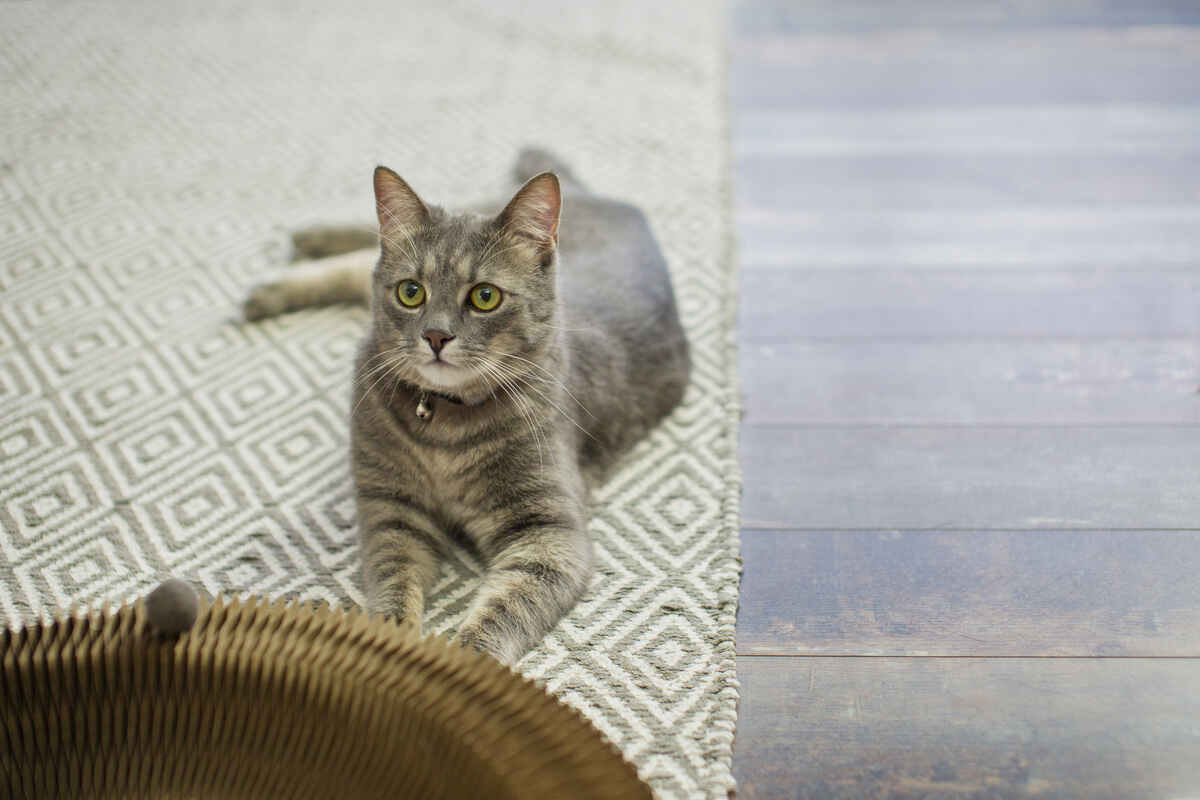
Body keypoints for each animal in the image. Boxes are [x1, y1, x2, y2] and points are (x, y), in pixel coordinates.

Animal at [242, 149, 691, 662]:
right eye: (411, 292)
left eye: (485, 296)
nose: (436, 336)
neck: (443, 424)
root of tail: (602, 198)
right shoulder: (392, 511)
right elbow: (393, 587)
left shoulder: (549, 533)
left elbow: (500, 614)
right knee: (365, 251)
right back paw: (293, 260)